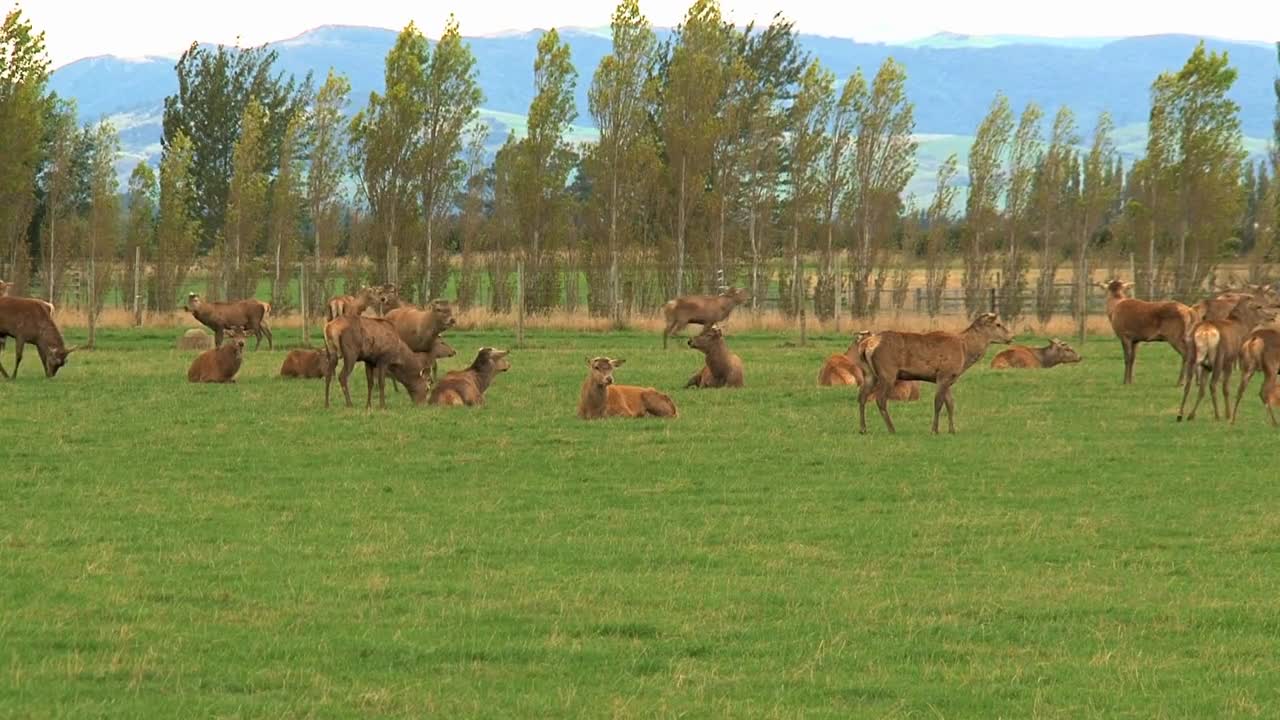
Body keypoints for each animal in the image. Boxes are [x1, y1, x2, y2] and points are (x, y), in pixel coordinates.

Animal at [855, 308, 1013, 430]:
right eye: (998, 324)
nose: (1011, 337)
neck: (965, 352)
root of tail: (867, 344)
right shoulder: (944, 374)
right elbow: (938, 403)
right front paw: (935, 430)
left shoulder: (949, 378)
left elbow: (951, 404)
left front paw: (952, 430)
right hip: (887, 372)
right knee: (880, 399)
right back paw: (892, 429)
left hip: (869, 373)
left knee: (862, 396)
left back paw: (863, 429)